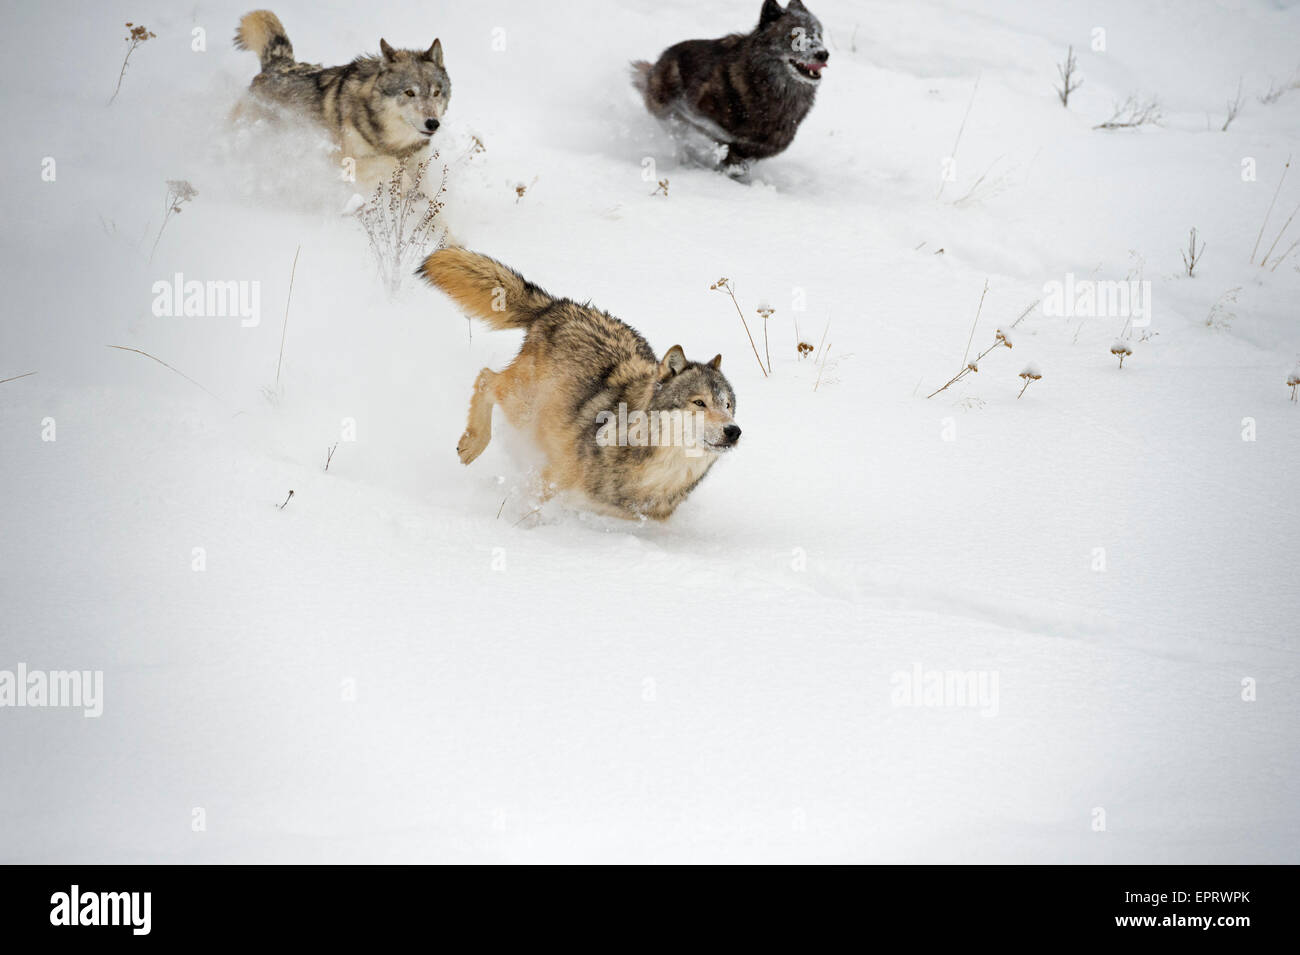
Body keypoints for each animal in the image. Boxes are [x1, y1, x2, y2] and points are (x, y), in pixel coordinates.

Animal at [416, 248, 743, 522]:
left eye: (728, 406)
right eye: (699, 402)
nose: (733, 431)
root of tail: (559, 305)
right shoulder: (550, 478)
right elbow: (528, 510)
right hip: (523, 408)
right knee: (485, 378)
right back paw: (471, 445)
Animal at [634, 0, 826, 179]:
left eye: (818, 35)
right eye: (794, 35)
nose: (823, 54)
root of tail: (656, 65)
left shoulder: (763, 146)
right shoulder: (696, 113)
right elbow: (710, 137)